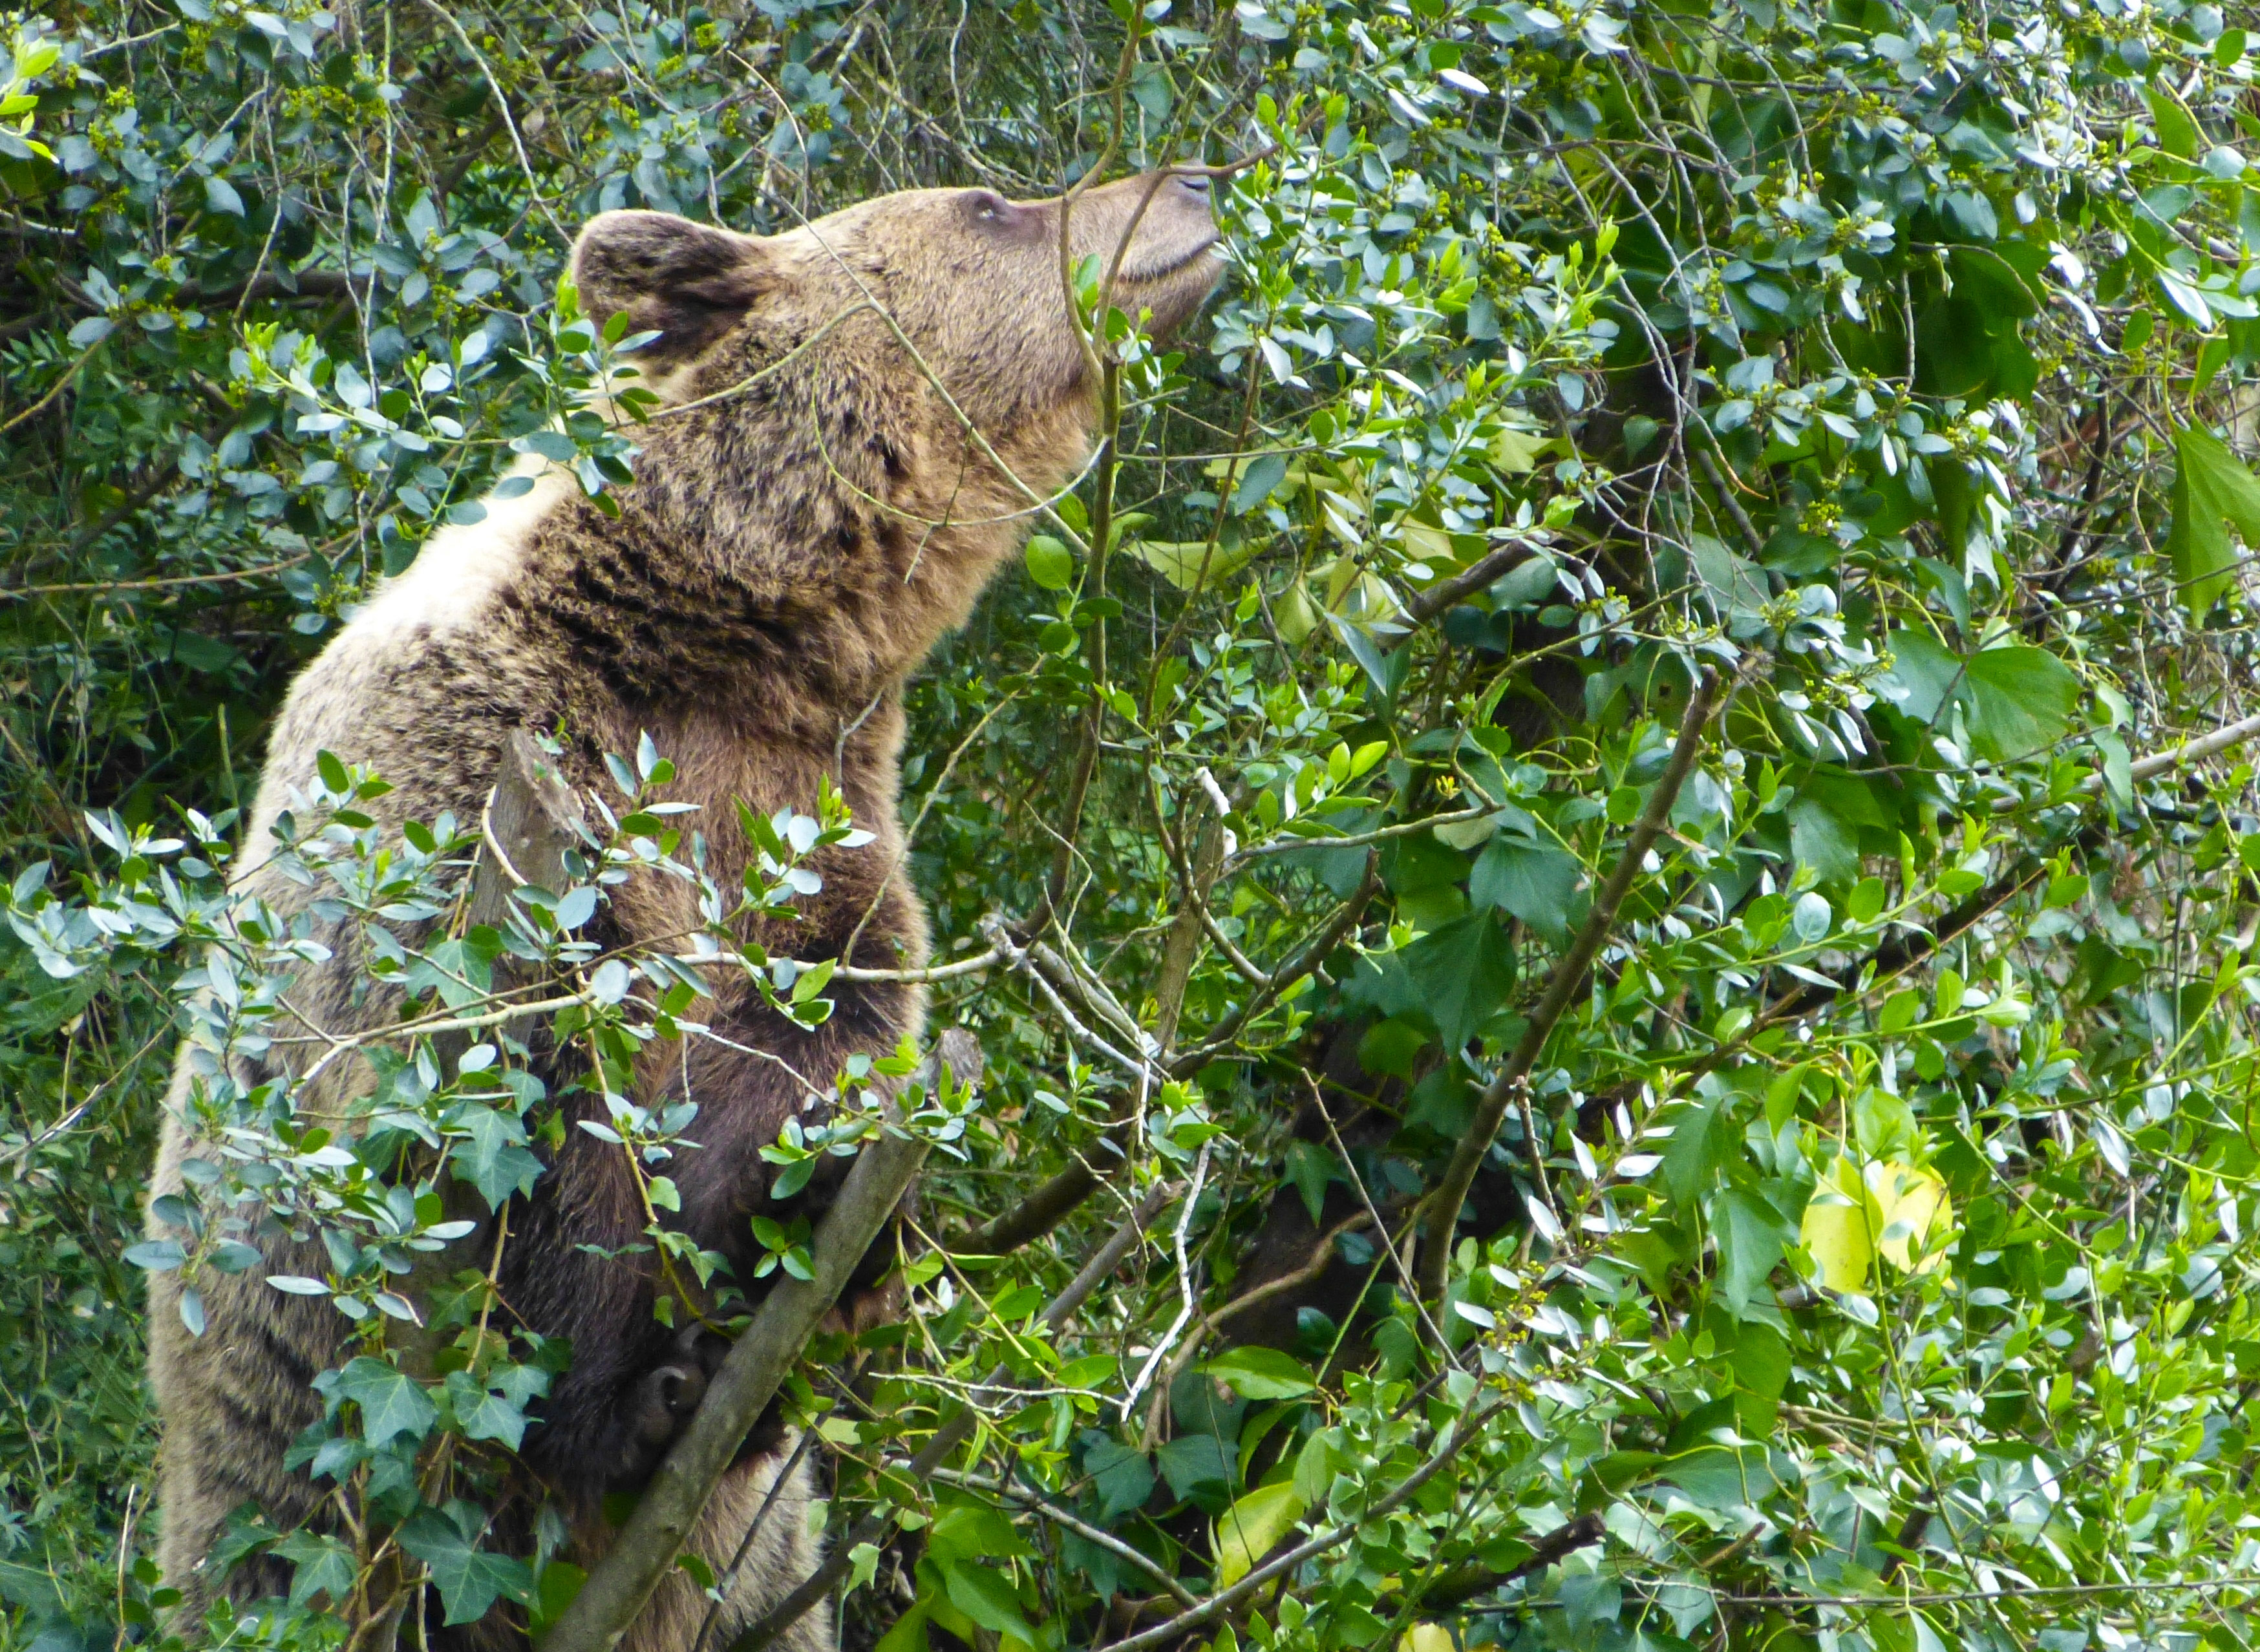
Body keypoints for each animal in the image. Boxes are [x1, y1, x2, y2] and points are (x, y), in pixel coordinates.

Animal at [145, 168, 1220, 1652]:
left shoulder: (809, 823)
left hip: (756, 1574)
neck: (719, 635)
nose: (1197, 186)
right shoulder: (489, 790)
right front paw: (636, 1386)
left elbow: (809, 1033)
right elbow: (513, 1108)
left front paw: (821, 1202)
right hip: (283, 1518)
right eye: (991, 204)